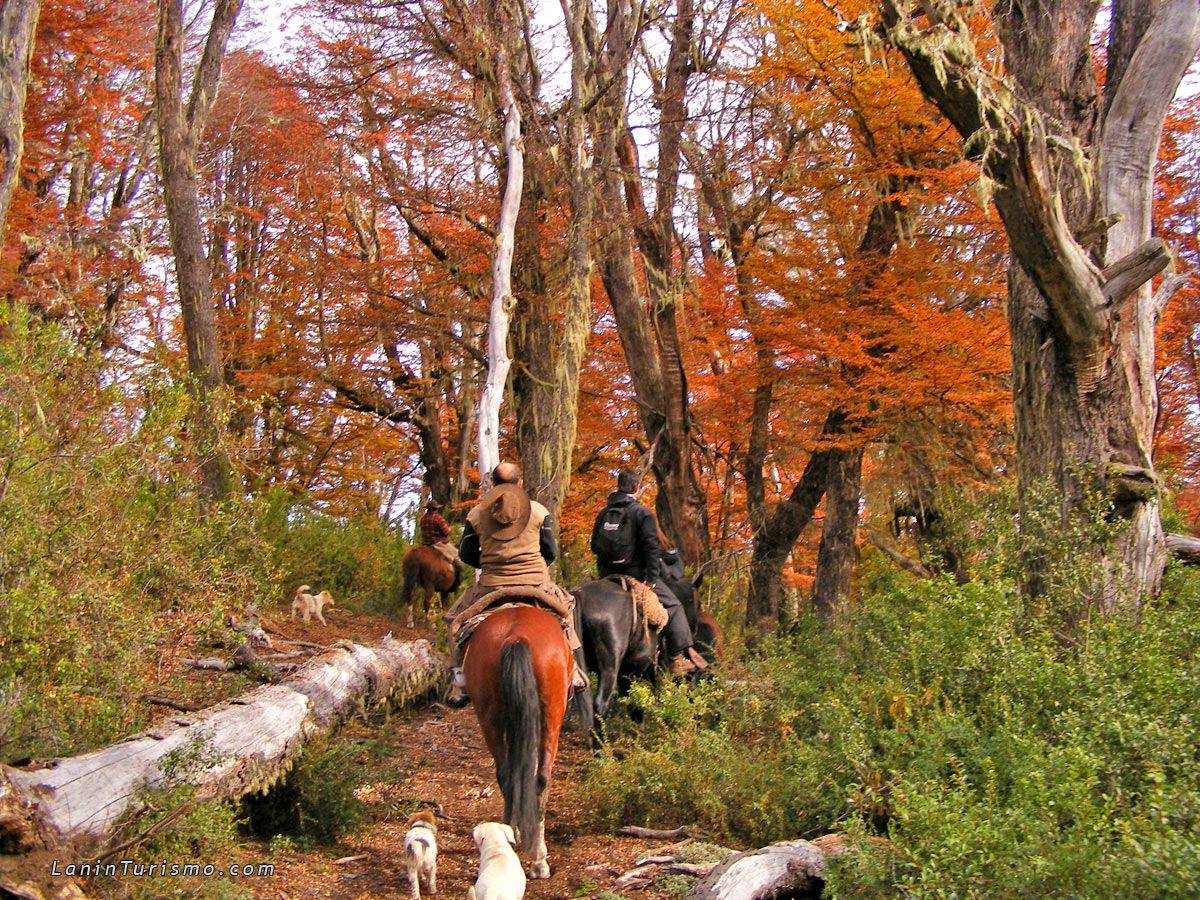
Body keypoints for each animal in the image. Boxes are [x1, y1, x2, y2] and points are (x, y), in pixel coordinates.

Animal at [463, 607, 571, 883]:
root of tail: (516, 636)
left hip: (491, 717)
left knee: (510, 776)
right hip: (552, 715)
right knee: (538, 778)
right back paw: (538, 858)